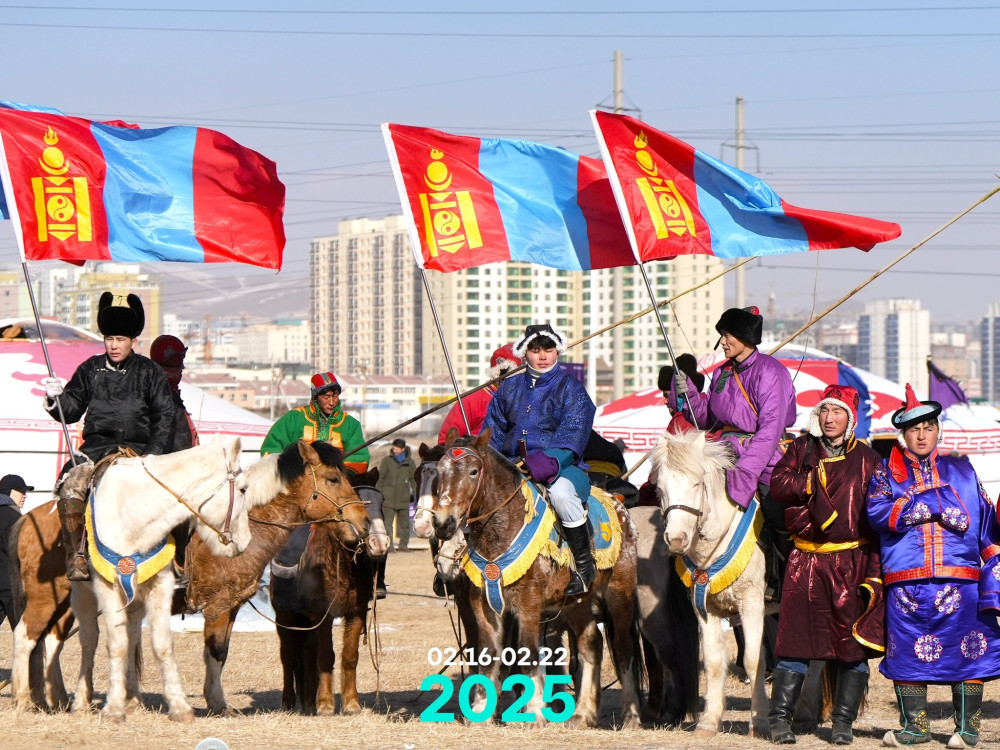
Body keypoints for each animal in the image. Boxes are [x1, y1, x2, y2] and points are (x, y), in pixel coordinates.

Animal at [62, 438, 252, 724]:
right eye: (242, 489)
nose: (245, 541)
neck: (133, 514)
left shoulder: (159, 586)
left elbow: (161, 645)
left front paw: (179, 707)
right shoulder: (109, 587)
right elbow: (116, 646)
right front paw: (113, 709)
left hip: (134, 602)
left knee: (132, 636)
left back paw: (133, 699)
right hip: (83, 596)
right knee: (89, 640)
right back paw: (82, 701)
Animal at [428, 432, 640, 732]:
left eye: (473, 471)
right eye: (441, 472)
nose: (443, 523)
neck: (502, 529)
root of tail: (620, 506)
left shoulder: (528, 603)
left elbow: (527, 653)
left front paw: (535, 713)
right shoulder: (483, 605)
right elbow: (488, 653)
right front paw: (481, 711)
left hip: (619, 595)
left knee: (623, 649)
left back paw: (631, 715)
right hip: (575, 602)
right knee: (590, 644)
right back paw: (582, 714)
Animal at [652, 428, 768, 740]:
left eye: (696, 483)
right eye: (661, 488)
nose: (676, 539)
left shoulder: (752, 602)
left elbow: (752, 659)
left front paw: (759, 722)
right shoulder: (705, 608)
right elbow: (716, 662)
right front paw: (708, 721)